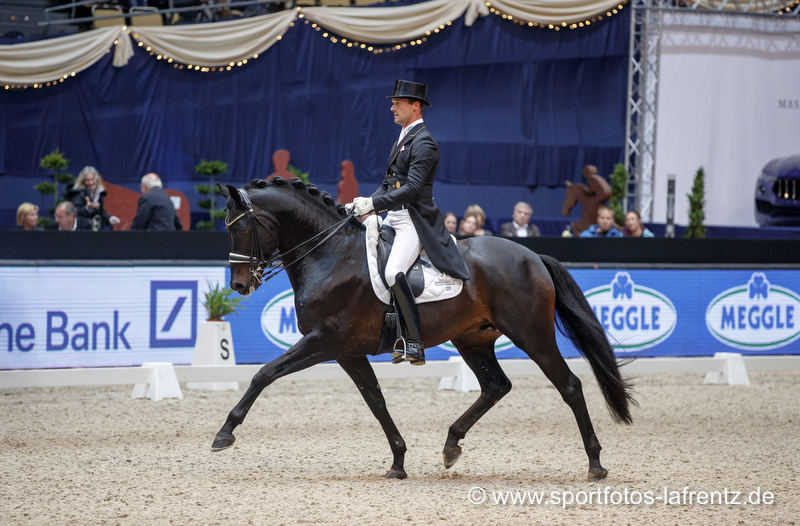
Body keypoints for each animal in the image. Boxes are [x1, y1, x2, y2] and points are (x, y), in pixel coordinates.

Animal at [214, 178, 636, 482]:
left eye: (241, 227)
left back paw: (595, 464)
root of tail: (532, 255)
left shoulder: (323, 341)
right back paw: (451, 445)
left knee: (570, 386)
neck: (331, 256)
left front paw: (225, 433)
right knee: (496, 385)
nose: (239, 285)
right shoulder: (347, 351)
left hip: (532, 335)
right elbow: (376, 401)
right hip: (473, 338)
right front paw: (398, 461)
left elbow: (264, 374)